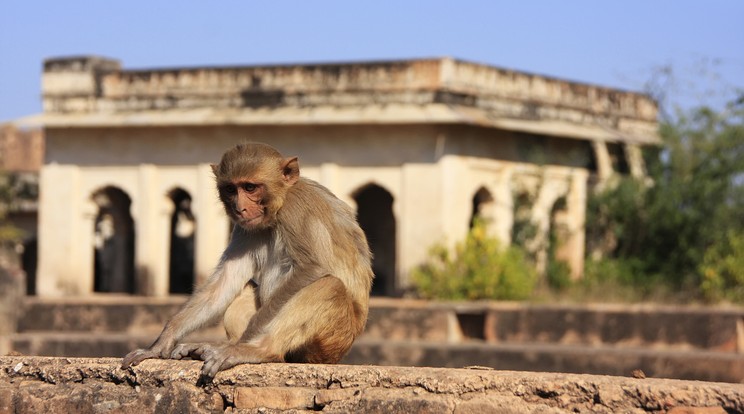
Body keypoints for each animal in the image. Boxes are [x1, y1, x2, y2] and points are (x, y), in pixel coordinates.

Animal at [125, 143, 378, 378]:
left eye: (250, 187)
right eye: (231, 189)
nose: (240, 208)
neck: (279, 206)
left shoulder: (296, 208)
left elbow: (313, 268)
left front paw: (240, 346)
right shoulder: (244, 228)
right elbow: (225, 281)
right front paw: (161, 342)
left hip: (332, 341)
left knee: (328, 285)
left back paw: (256, 350)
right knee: (245, 287)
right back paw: (221, 345)